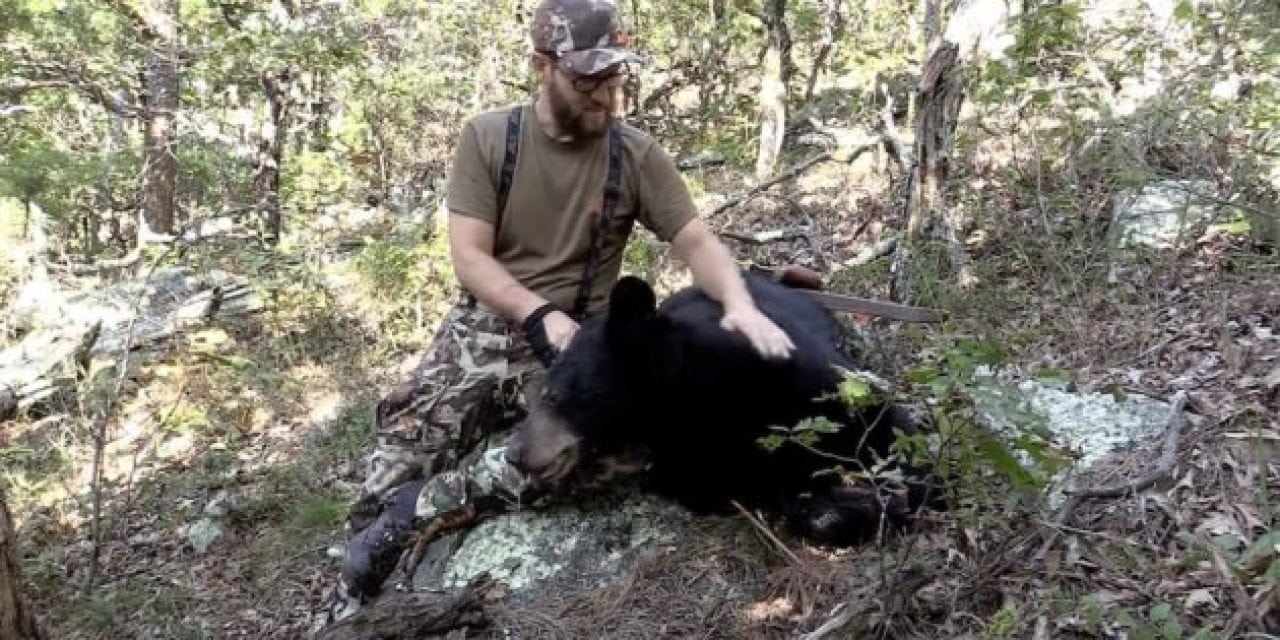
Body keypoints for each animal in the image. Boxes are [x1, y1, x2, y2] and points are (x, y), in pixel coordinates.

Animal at [504, 270, 936, 545]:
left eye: (554, 395)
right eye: (538, 393)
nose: (514, 454)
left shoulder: (808, 377)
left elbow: (889, 424)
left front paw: (915, 494)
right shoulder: (690, 459)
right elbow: (751, 488)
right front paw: (867, 507)